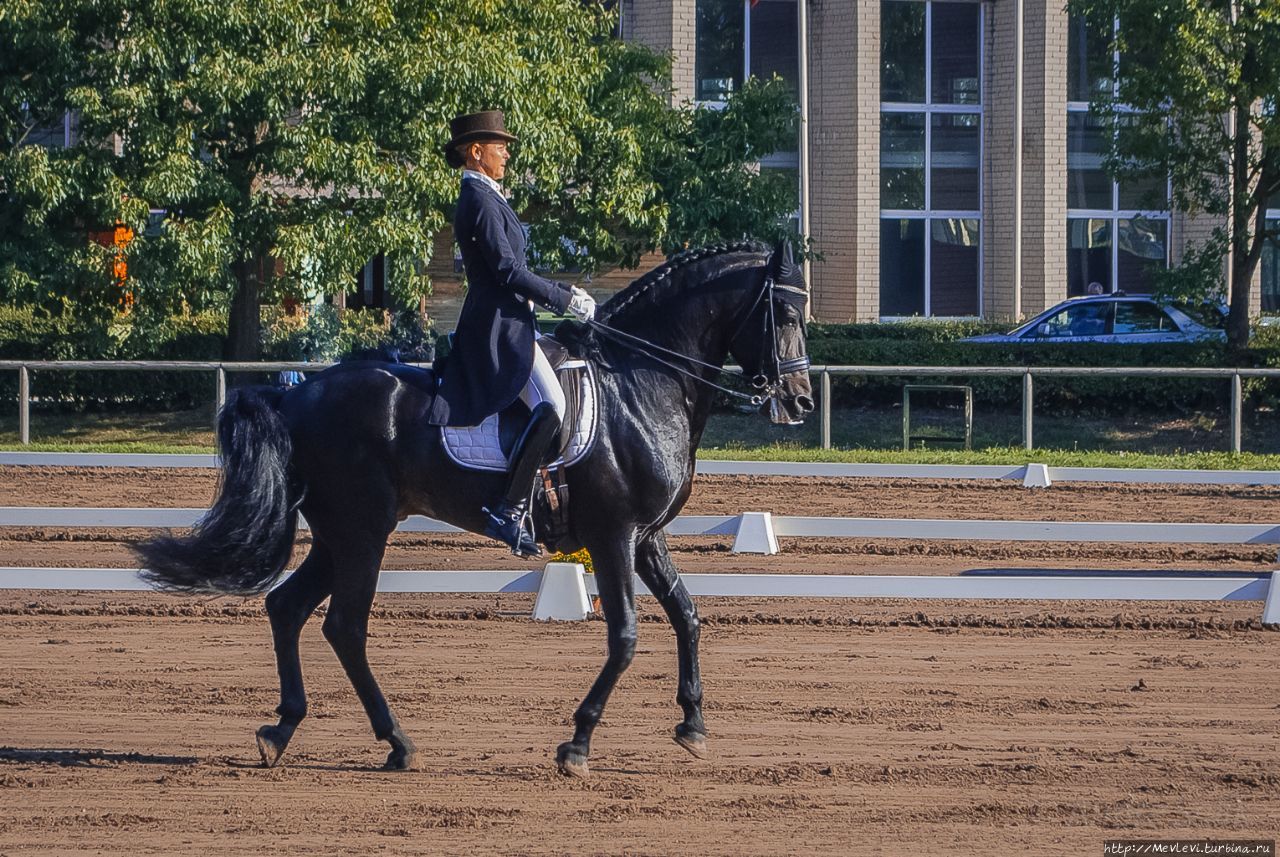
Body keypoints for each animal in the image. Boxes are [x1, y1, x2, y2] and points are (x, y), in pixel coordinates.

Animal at [135, 240, 814, 777]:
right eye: (783, 311)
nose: (800, 401)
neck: (640, 384)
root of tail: (297, 396)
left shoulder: (646, 537)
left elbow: (687, 615)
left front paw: (693, 726)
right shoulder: (614, 535)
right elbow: (624, 636)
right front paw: (577, 744)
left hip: (338, 534)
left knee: (288, 608)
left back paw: (283, 730)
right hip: (362, 533)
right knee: (343, 626)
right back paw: (397, 743)